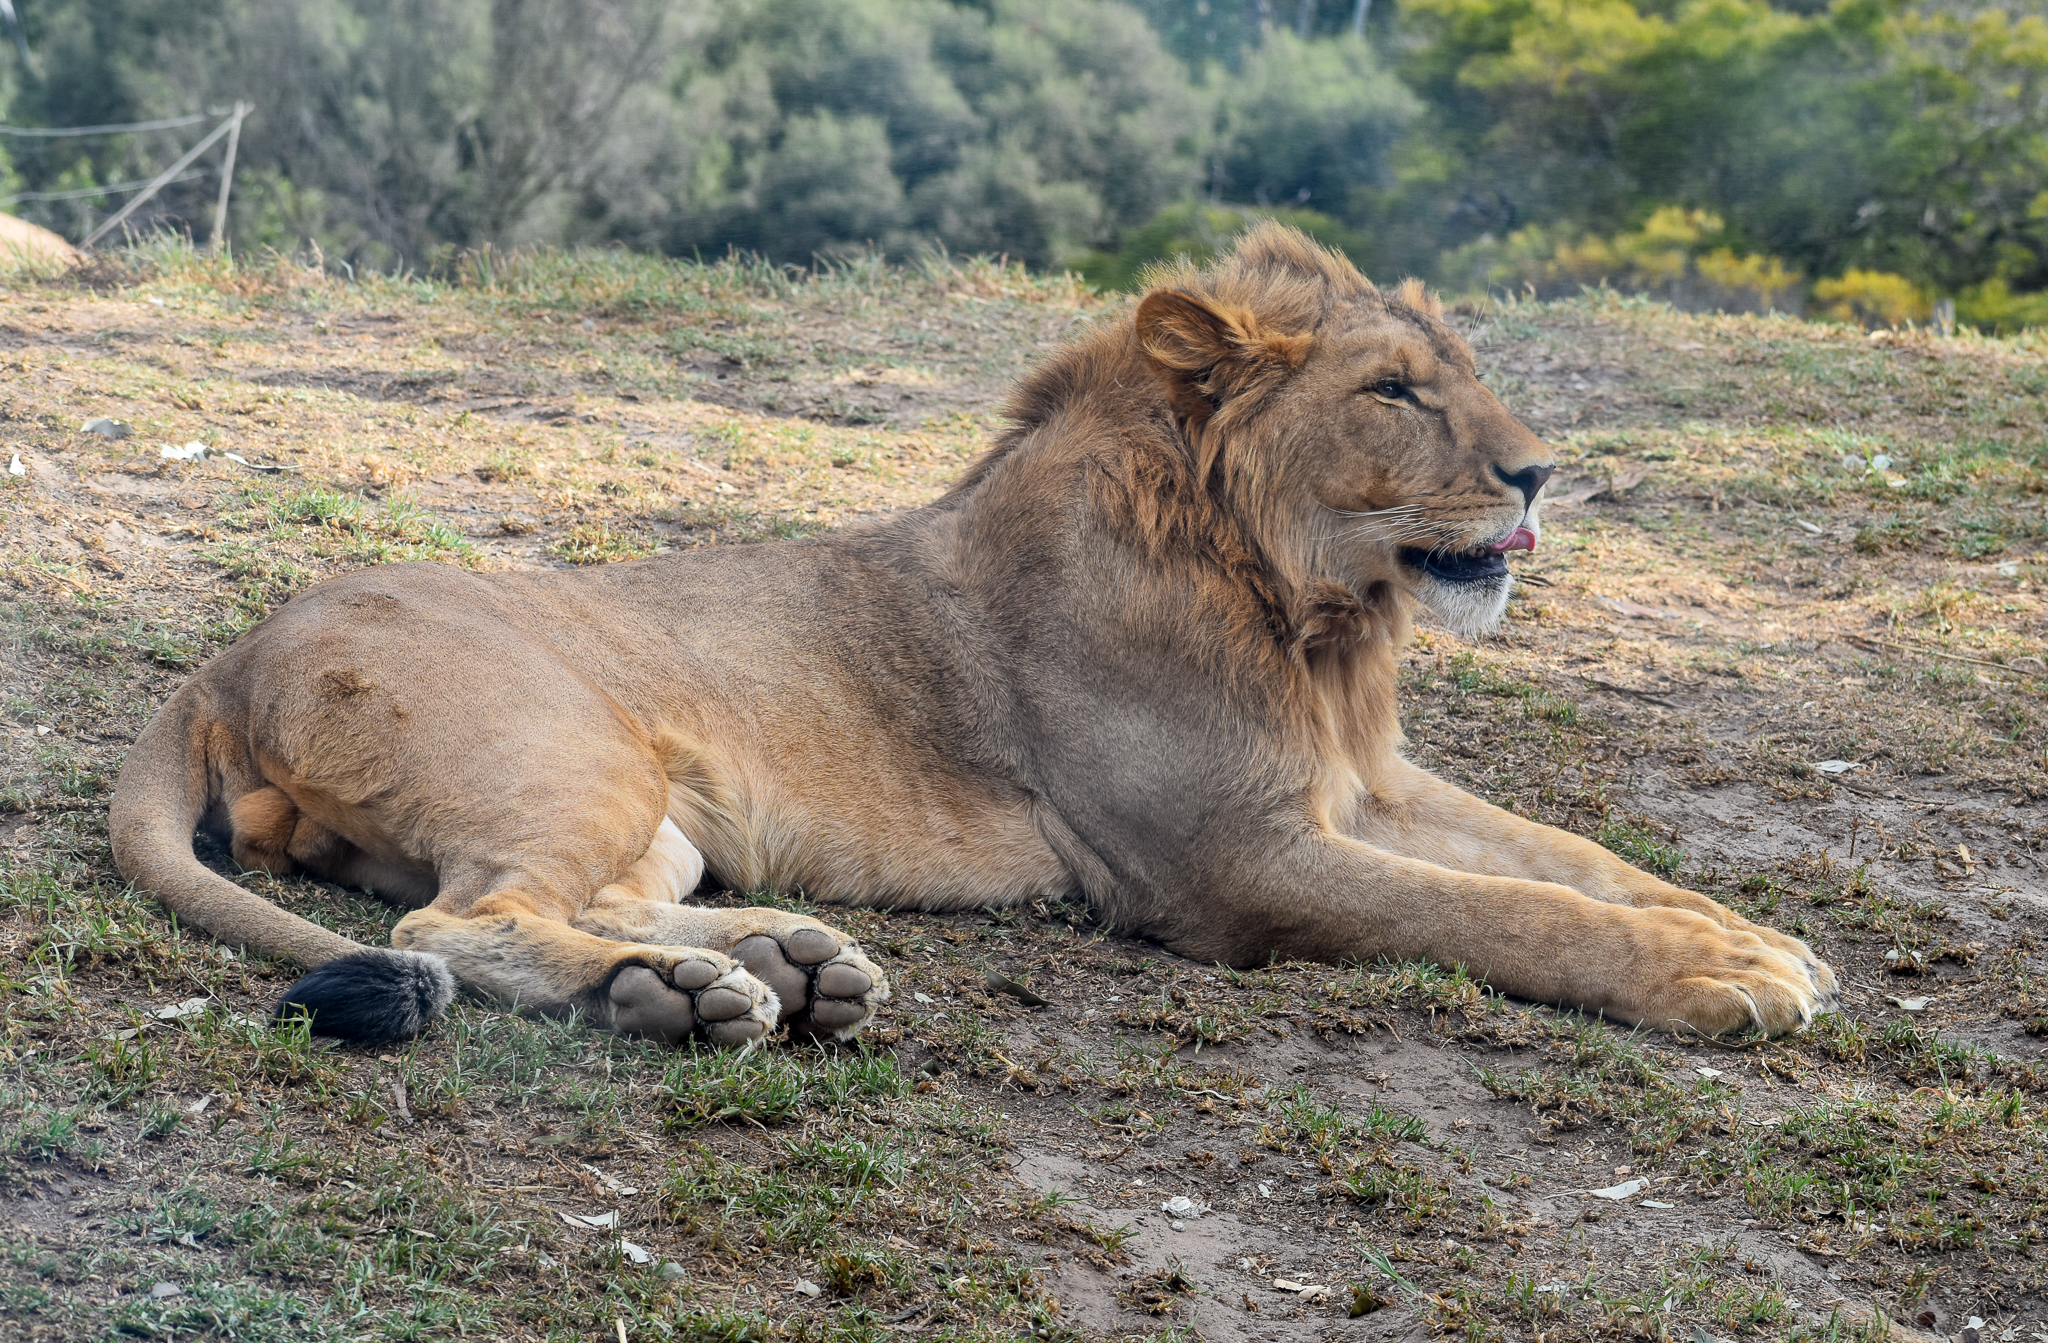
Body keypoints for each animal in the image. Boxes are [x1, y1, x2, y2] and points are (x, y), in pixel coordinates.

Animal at [109, 223, 1837, 1047]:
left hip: (654, 814)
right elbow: (1511, 914)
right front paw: (1723, 976)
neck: (1309, 614)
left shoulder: (1369, 787)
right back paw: (677, 997)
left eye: (1464, 371)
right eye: (1396, 392)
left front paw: (1758, 934)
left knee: (577, 897)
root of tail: (231, 650)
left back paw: (780, 964)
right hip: (567, 753)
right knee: (457, 922)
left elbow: (1579, 860)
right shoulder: (1237, 860)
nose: (1541, 469)